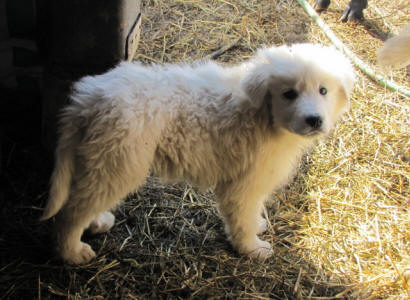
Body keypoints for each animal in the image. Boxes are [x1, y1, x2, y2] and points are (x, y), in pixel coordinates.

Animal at [40, 43, 356, 264]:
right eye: (289, 94)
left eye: (323, 90)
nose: (314, 120)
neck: (263, 116)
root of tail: (89, 98)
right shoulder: (242, 184)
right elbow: (241, 219)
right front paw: (252, 248)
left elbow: (252, 212)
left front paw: (257, 226)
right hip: (119, 162)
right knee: (70, 212)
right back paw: (72, 252)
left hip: (102, 159)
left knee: (84, 198)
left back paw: (97, 222)